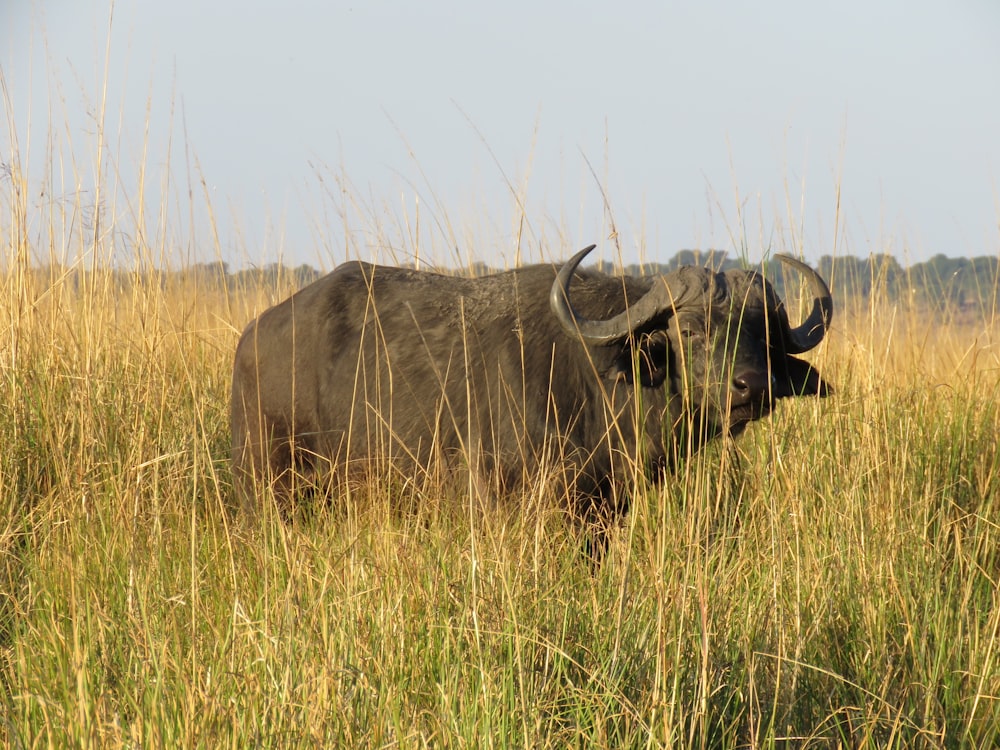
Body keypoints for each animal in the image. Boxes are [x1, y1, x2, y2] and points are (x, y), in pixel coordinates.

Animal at [230, 247, 832, 528]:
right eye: (689, 330)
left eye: (762, 333)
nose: (752, 388)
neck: (600, 380)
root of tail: (251, 338)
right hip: (270, 486)